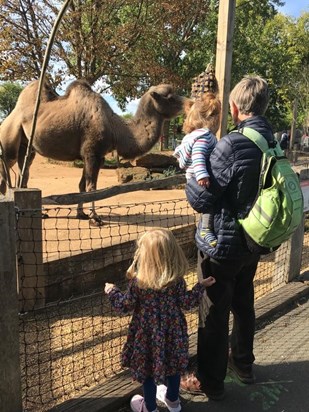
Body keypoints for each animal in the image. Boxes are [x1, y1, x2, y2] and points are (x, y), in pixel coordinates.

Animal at [0, 79, 185, 224]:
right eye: (170, 97)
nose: (189, 102)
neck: (115, 128)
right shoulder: (92, 153)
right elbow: (92, 187)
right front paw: (94, 218)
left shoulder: (94, 156)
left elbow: (82, 186)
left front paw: (81, 214)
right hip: (9, 139)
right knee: (6, 171)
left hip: (28, 146)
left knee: (24, 174)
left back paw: (41, 213)